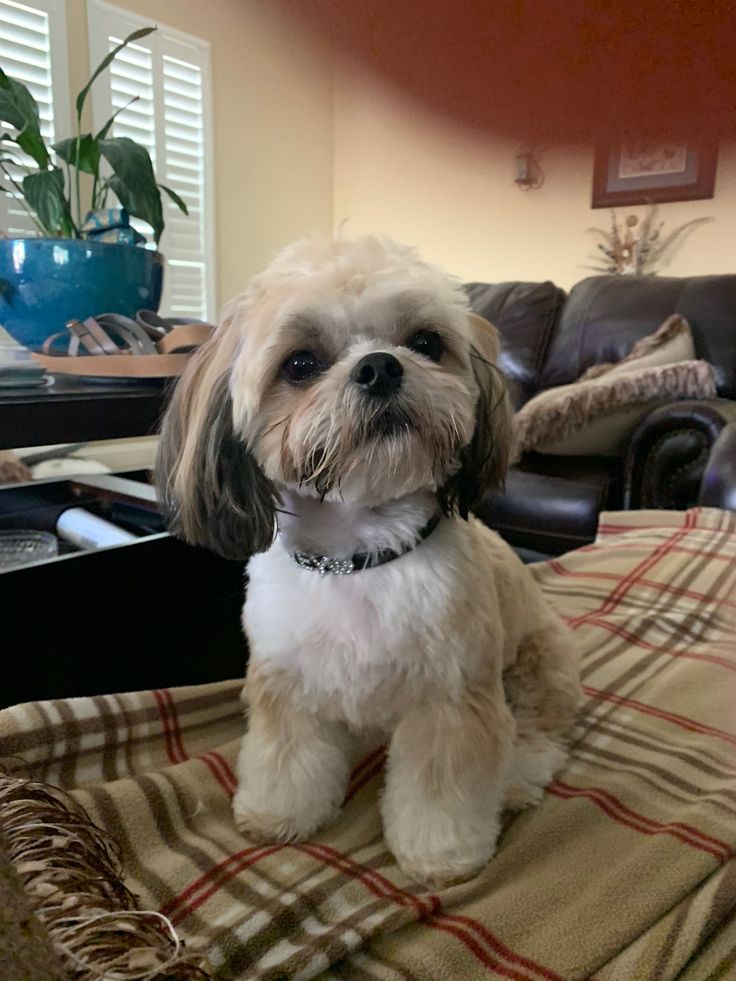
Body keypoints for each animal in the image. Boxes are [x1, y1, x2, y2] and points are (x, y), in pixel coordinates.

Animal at [158, 237, 584, 888]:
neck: (360, 556)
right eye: (300, 364)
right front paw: (279, 813)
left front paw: (443, 855)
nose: (380, 366)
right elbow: (286, 756)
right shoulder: (289, 684)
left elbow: (442, 789)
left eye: (426, 342)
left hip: (538, 664)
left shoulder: (451, 700)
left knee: (539, 733)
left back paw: (515, 776)